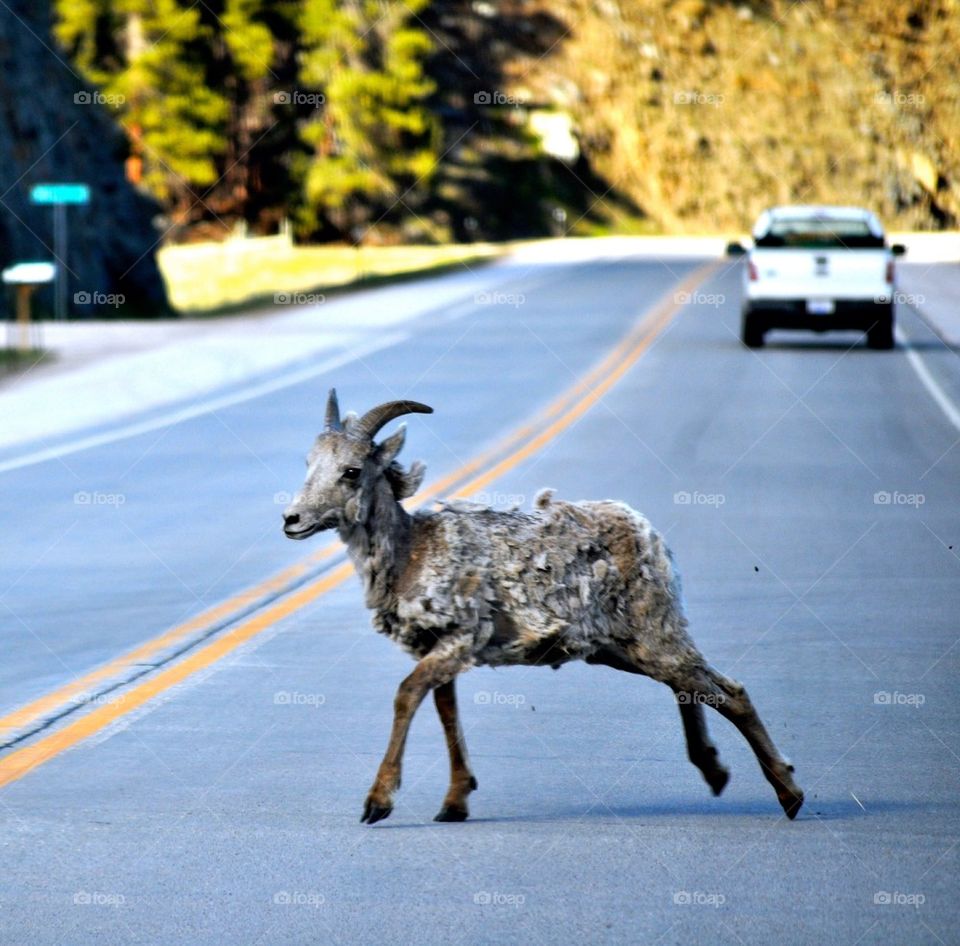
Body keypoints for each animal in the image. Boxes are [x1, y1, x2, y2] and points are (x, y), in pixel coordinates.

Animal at [284, 388, 804, 824]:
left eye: (351, 471)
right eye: (308, 463)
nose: (292, 519)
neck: (413, 552)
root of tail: (648, 534)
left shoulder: (457, 642)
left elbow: (407, 696)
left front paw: (378, 803)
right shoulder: (438, 650)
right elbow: (446, 711)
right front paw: (454, 804)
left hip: (653, 635)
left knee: (727, 692)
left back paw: (790, 796)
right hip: (622, 649)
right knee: (697, 687)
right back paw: (716, 772)